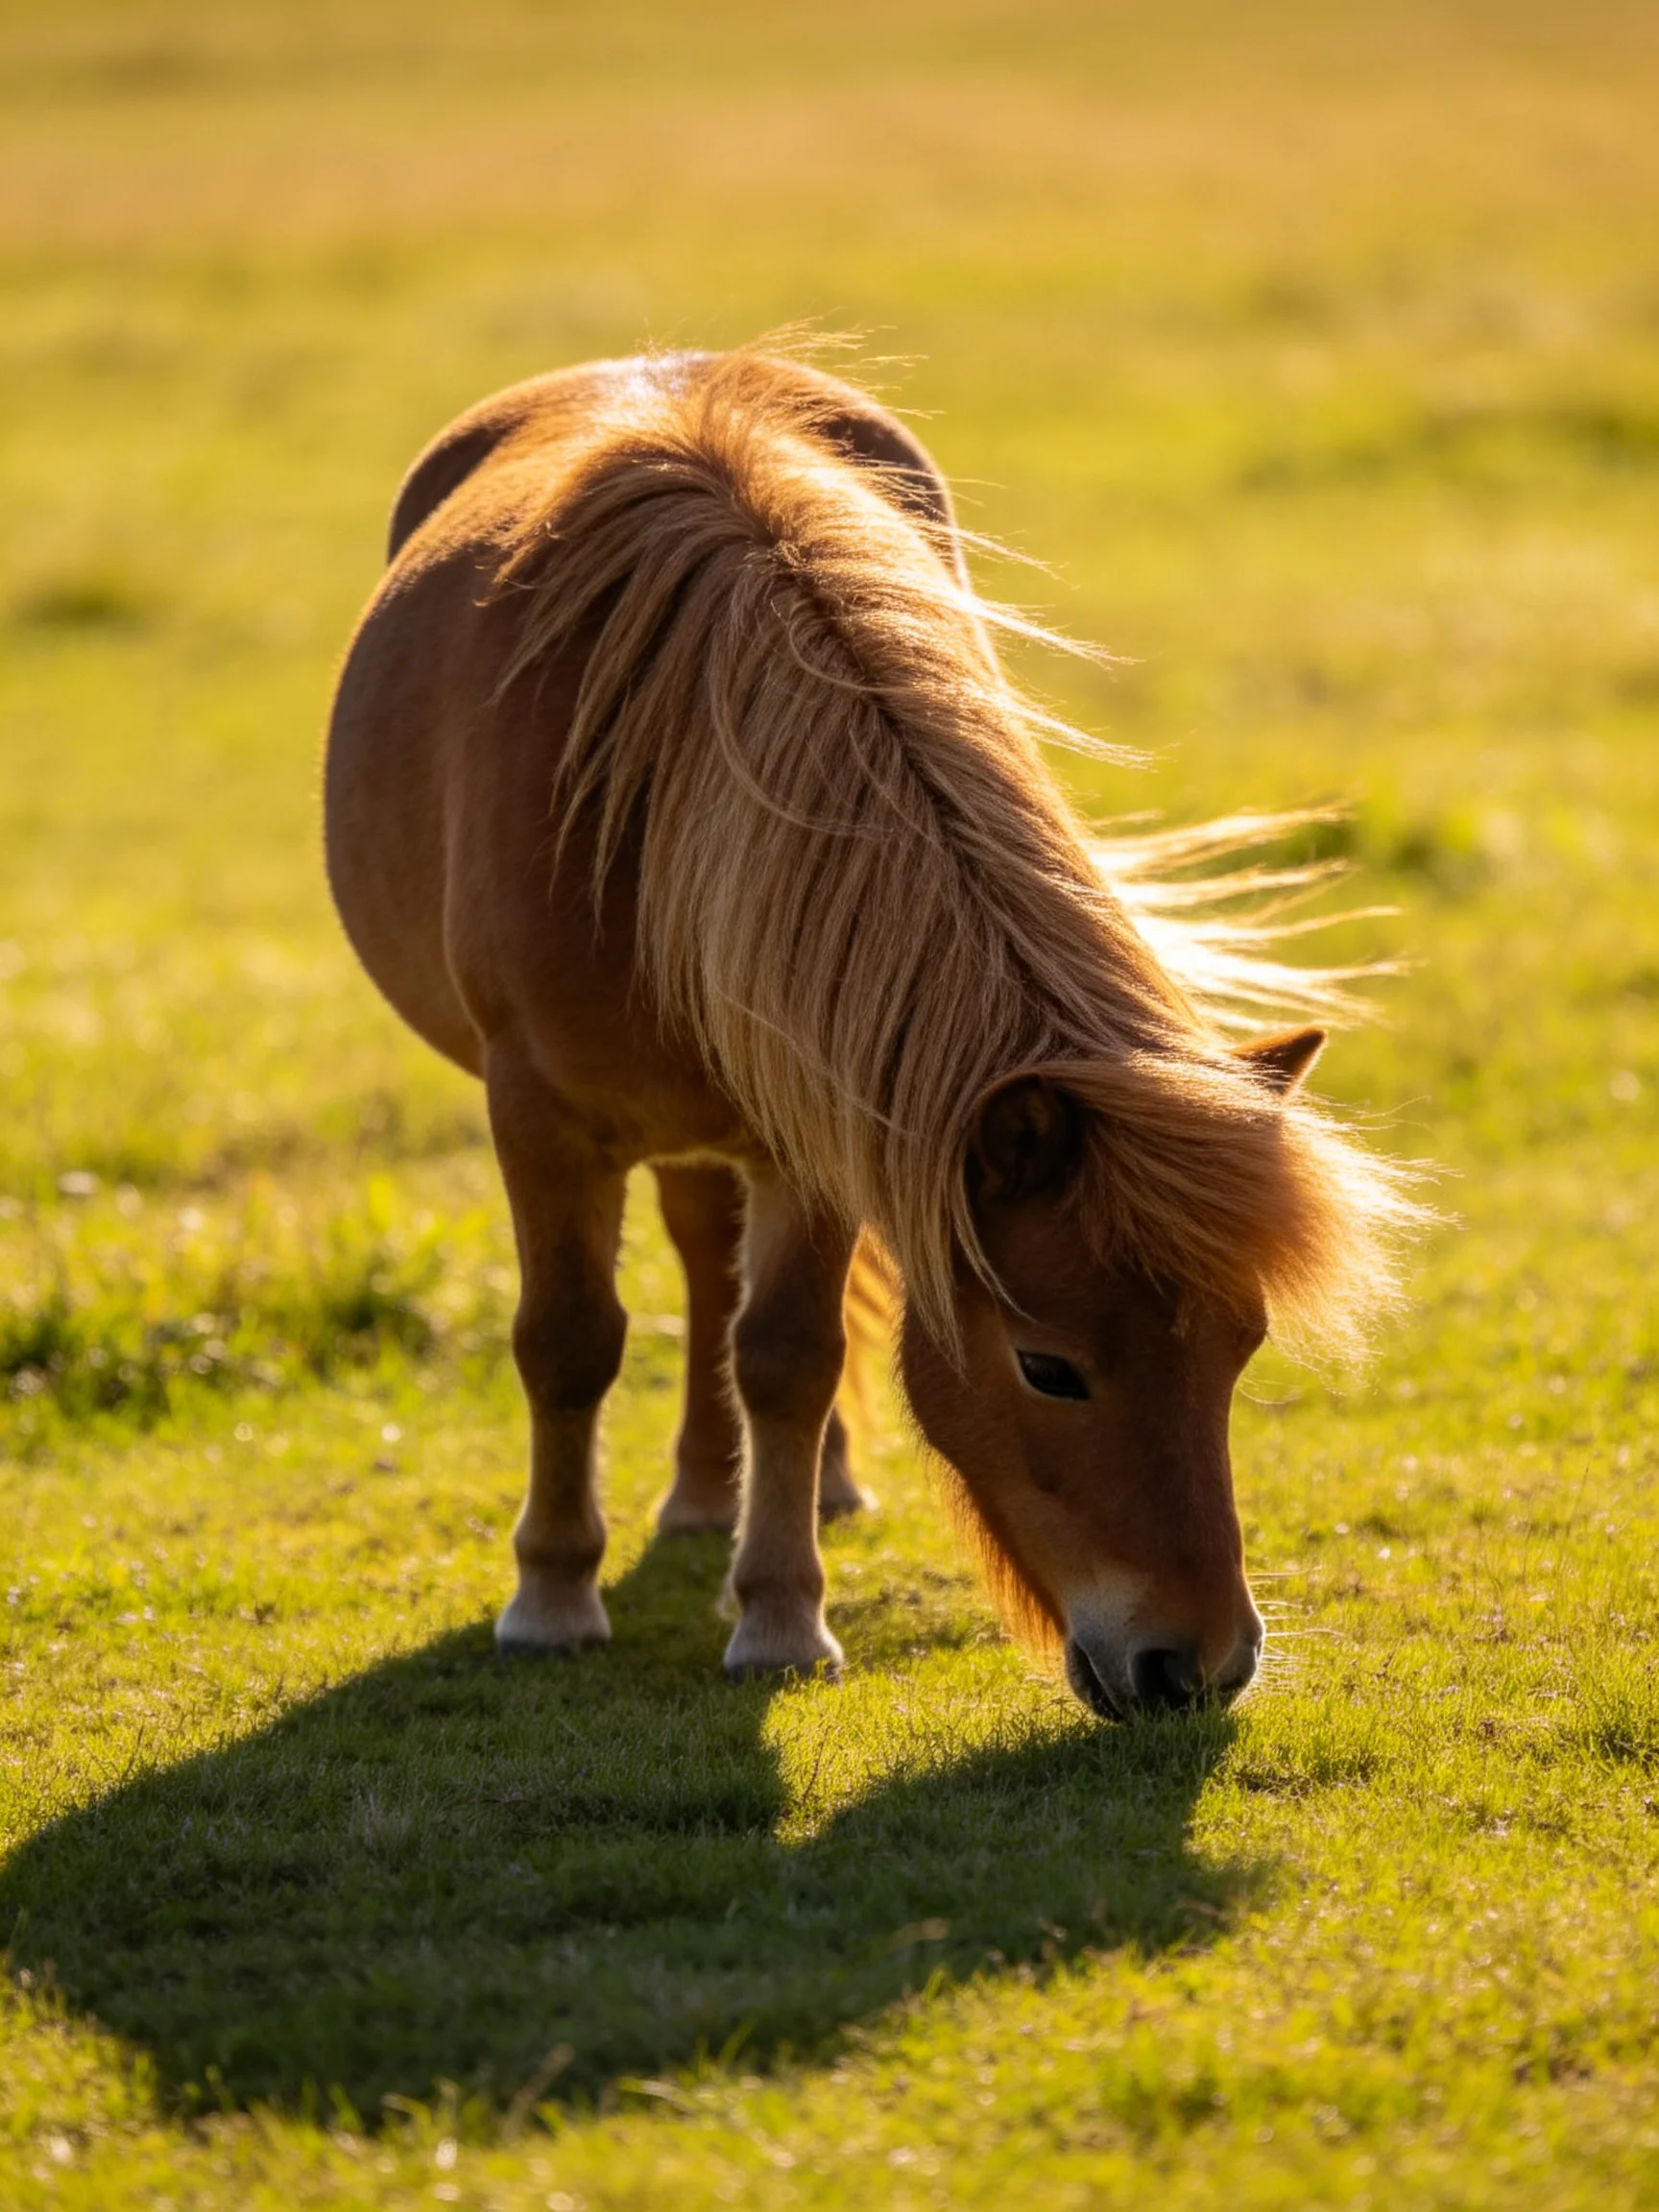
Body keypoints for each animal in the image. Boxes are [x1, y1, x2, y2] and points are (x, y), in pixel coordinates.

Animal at [324, 347, 1418, 1718]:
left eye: (1243, 1345)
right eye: (1049, 1367)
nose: (1198, 1668)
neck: (658, 812)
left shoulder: (822, 1115)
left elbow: (788, 1354)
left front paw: (782, 1616)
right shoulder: (539, 1115)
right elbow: (568, 1343)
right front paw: (552, 1600)